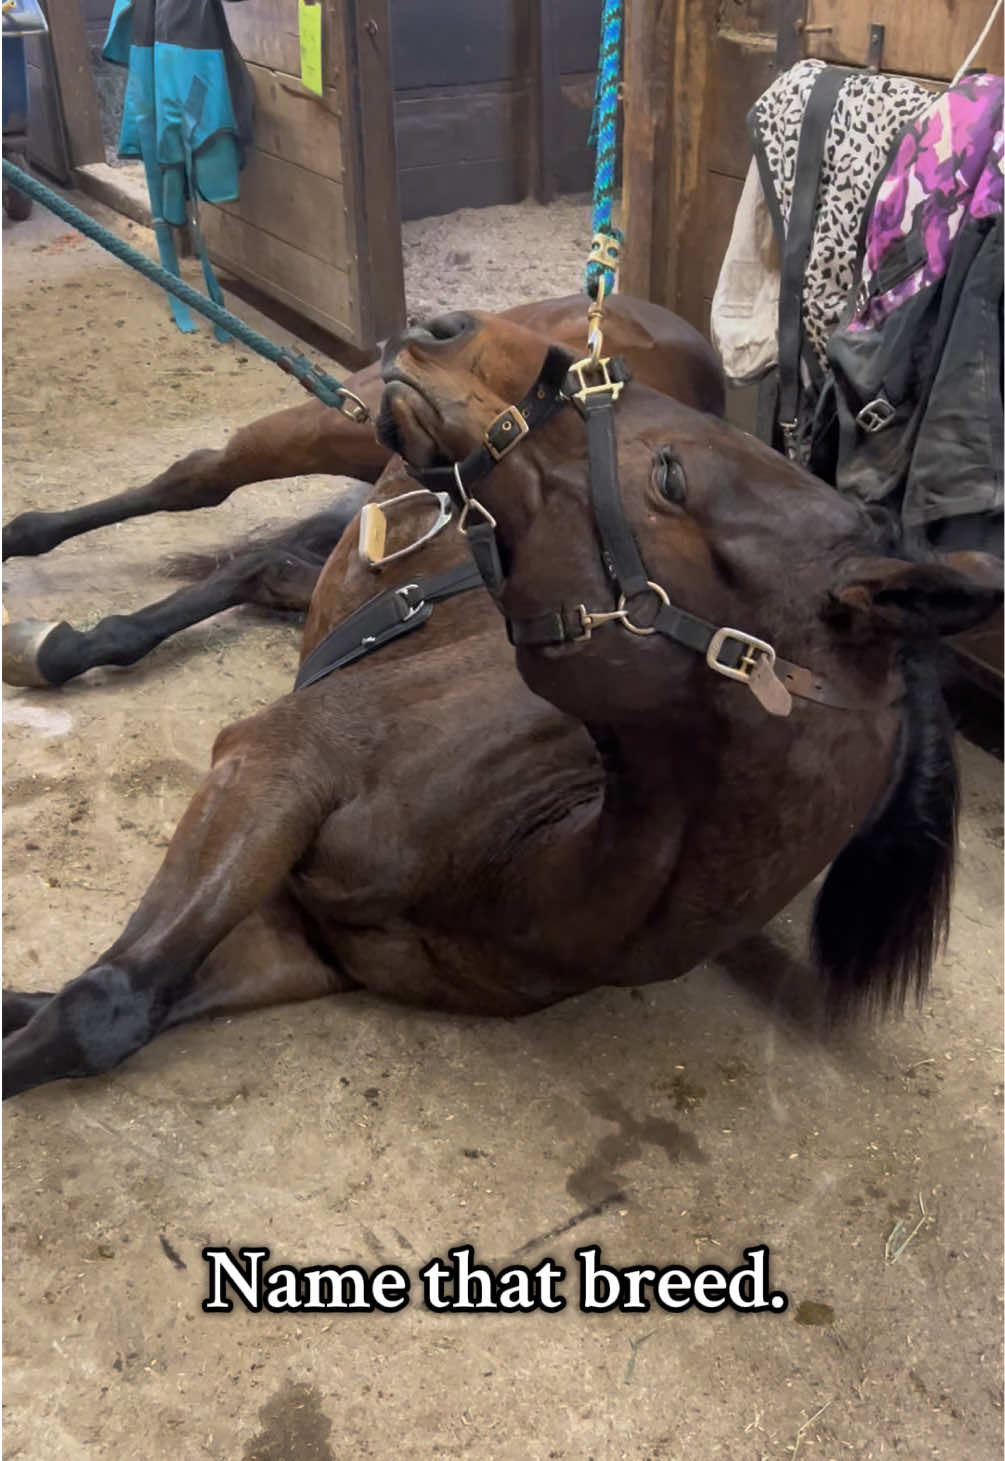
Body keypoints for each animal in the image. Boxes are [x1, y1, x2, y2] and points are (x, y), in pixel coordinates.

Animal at [1, 294, 723, 688]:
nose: (441, 331)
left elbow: (265, 569)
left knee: (255, 558)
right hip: (337, 420)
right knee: (199, 476)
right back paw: (23, 538)